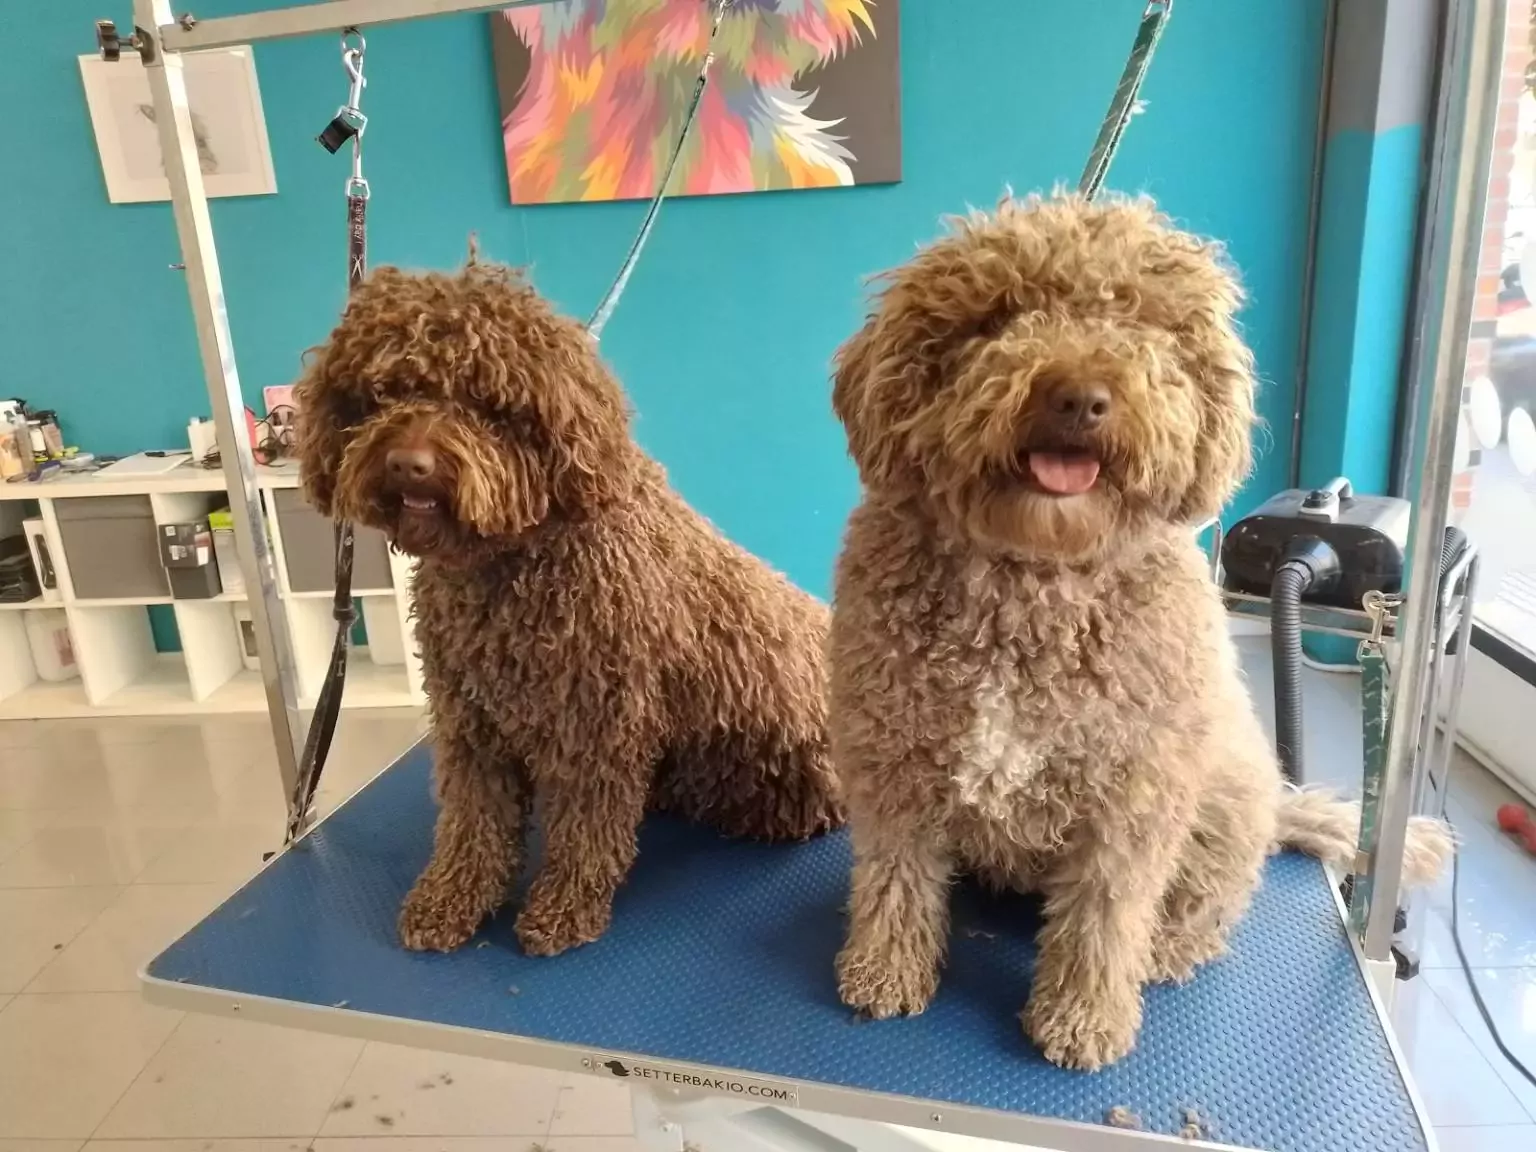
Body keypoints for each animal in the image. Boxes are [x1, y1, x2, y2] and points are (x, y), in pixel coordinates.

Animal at [293, 256, 847, 958]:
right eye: (386, 389)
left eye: (485, 401)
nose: (408, 464)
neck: (511, 561)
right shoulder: (471, 720)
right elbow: (473, 821)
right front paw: (452, 899)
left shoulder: (597, 723)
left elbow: (586, 831)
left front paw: (564, 908)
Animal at [829, 196, 1449, 1075]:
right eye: (1000, 316)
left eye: (1141, 324)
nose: (1079, 395)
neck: (1031, 581)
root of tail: (1279, 808)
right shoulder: (893, 762)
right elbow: (895, 874)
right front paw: (885, 969)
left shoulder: (1134, 796)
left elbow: (1104, 912)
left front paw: (1083, 1015)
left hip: (1222, 799)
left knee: (1204, 909)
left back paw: (1165, 950)